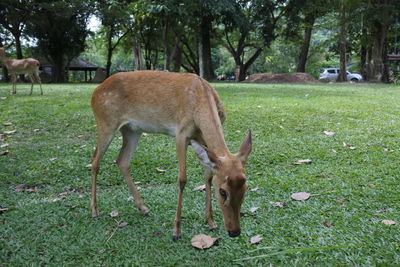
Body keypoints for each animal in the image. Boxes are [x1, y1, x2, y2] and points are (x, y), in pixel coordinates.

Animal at [91, 70, 253, 241]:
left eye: (246, 188)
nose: (235, 232)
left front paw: (211, 222)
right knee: (95, 161)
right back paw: (94, 210)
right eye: (223, 191)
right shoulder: (181, 134)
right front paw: (176, 231)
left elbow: (208, 176)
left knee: (122, 161)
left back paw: (143, 208)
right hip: (106, 122)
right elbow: (182, 179)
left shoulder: (202, 140)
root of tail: (95, 93)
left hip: (132, 130)